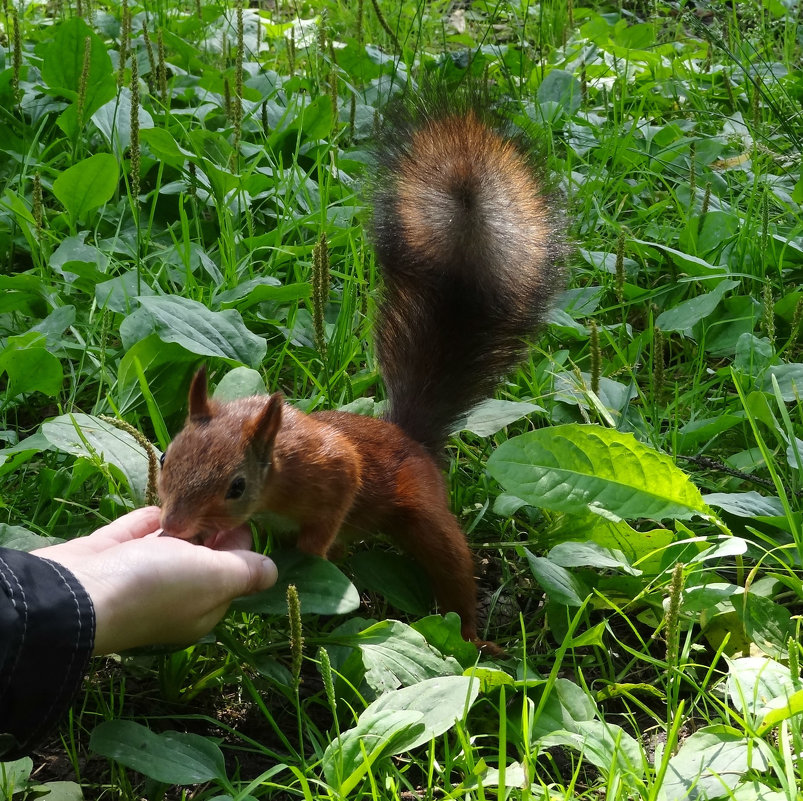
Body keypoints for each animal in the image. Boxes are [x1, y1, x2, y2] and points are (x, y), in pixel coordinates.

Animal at [159, 97, 564, 652]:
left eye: (237, 487)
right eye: (165, 459)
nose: (174, 528)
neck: (276, 468)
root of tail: (410, 438)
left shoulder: (332, 466)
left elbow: (336, 499)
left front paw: (308, 556)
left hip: (422, 511)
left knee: (451, 565)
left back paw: (470, 636)